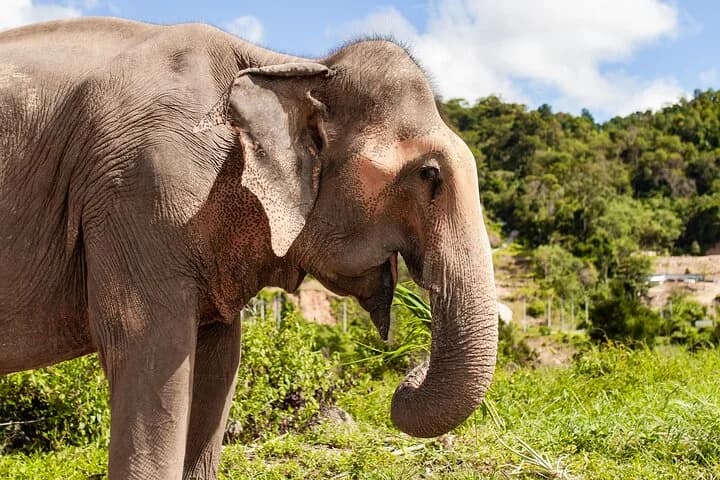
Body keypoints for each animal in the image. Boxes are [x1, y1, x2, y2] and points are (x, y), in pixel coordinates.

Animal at [0, 17, 498, 480]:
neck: (285, 65)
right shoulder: (139, 192)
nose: (407, 376)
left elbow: (220, 358)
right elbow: (146, 344)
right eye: (428, 174)